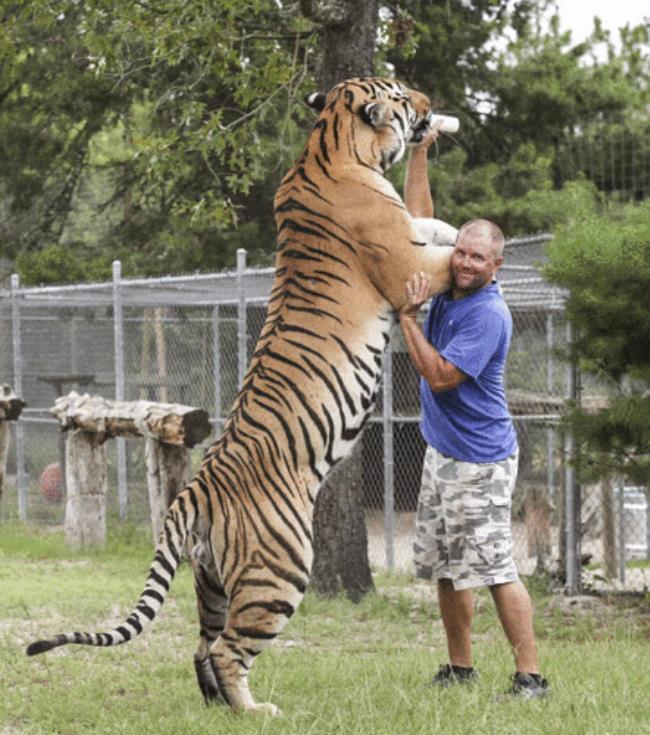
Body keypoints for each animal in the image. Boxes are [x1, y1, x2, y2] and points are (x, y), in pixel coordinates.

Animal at [26, 77, 456, 716]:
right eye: (403, 94)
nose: (430, 105)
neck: (330, 144)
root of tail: (193, 491)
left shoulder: (409, 233)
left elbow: (434, 225)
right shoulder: (405, 265)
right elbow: (446, 252)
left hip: (212, 583)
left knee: (202, 645)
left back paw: (218, 709)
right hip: (280, 571)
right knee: (229, 649)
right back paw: (256, 711)